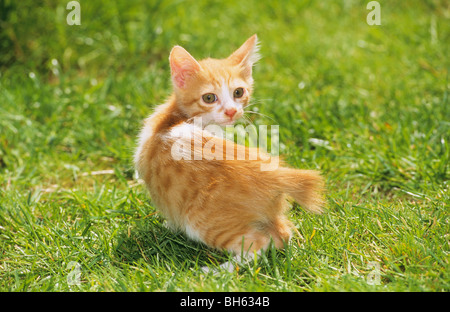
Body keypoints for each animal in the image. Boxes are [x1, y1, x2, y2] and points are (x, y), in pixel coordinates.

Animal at [133, 34, 324, 260]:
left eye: (238, 92)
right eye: (209, 97)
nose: (232, 111)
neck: (172, 119)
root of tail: (275, 175)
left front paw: (169, 226)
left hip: (203, 222)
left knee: (257, 245)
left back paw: (219, 268)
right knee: (282, 234)